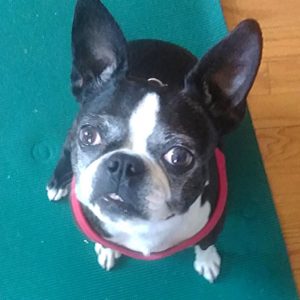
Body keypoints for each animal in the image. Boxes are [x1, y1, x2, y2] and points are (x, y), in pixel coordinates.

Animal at [45, 0, 262, 284]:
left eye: (179, 157)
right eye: (89, 135)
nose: (123, 164)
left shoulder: (214, 225)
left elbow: (206, 243)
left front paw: (207, 261)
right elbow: (104, 239)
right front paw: (107, 249)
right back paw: (58, 182)